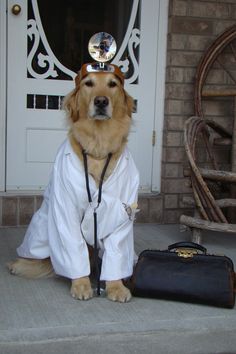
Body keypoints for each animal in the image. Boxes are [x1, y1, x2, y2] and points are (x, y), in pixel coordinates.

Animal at [7, 63, 140, 302]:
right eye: (89, 84)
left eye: (112, 84)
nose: (101, 101)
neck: (98, 147)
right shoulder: (64, 209)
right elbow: (72, 248)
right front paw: (81, 284)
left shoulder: (122, 213)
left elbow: (116, 250)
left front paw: (116, 286)